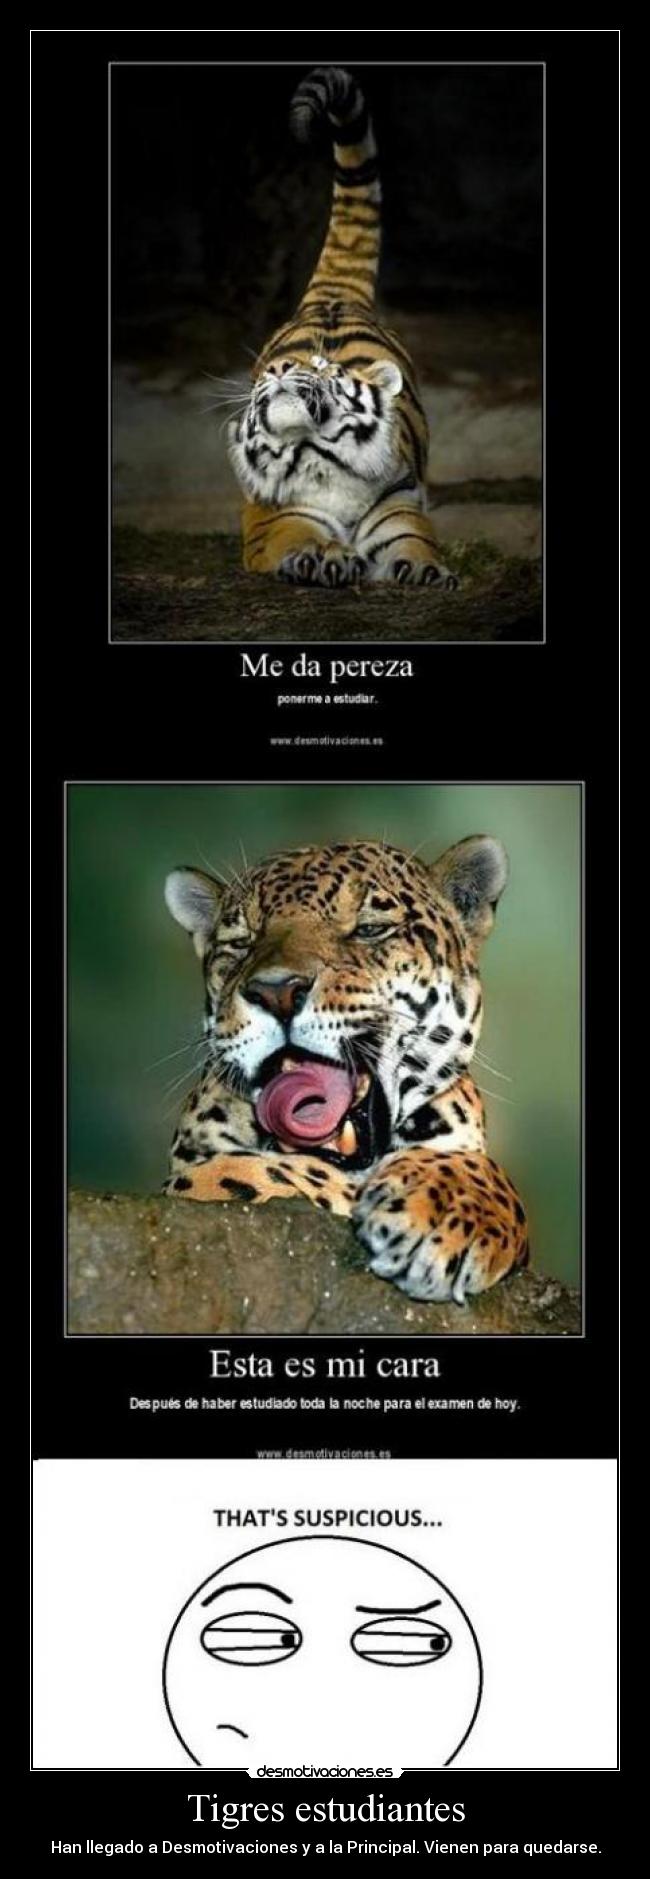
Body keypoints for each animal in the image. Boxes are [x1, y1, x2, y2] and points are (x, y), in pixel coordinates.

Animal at [226, 65, 457, 590]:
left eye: (324, 370)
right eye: (281, 369)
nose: (280, 371)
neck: (324, 462)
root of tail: (333, 298)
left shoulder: (400, 508)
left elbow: (414, 543)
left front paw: (427, 571)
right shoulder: (279, 519)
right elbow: (302, 537)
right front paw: (325, 558)